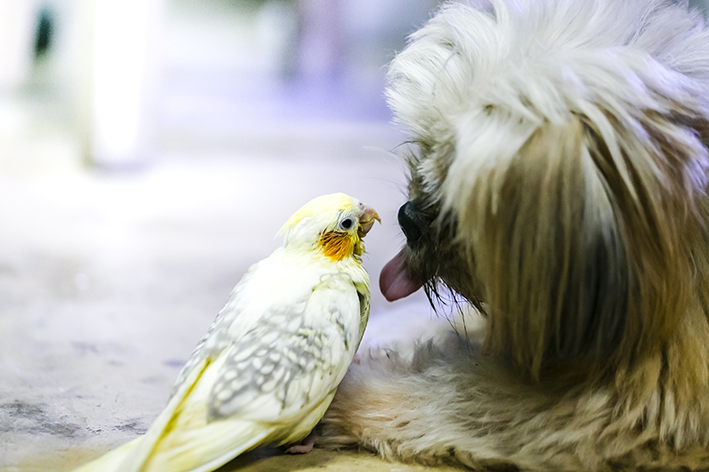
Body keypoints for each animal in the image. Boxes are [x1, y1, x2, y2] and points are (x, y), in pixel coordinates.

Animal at [320, 0, 709, 472]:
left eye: (460, 203)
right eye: (425, 154)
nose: (407, 216)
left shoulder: (627, 411)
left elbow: (448, 400)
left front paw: (348, 390)